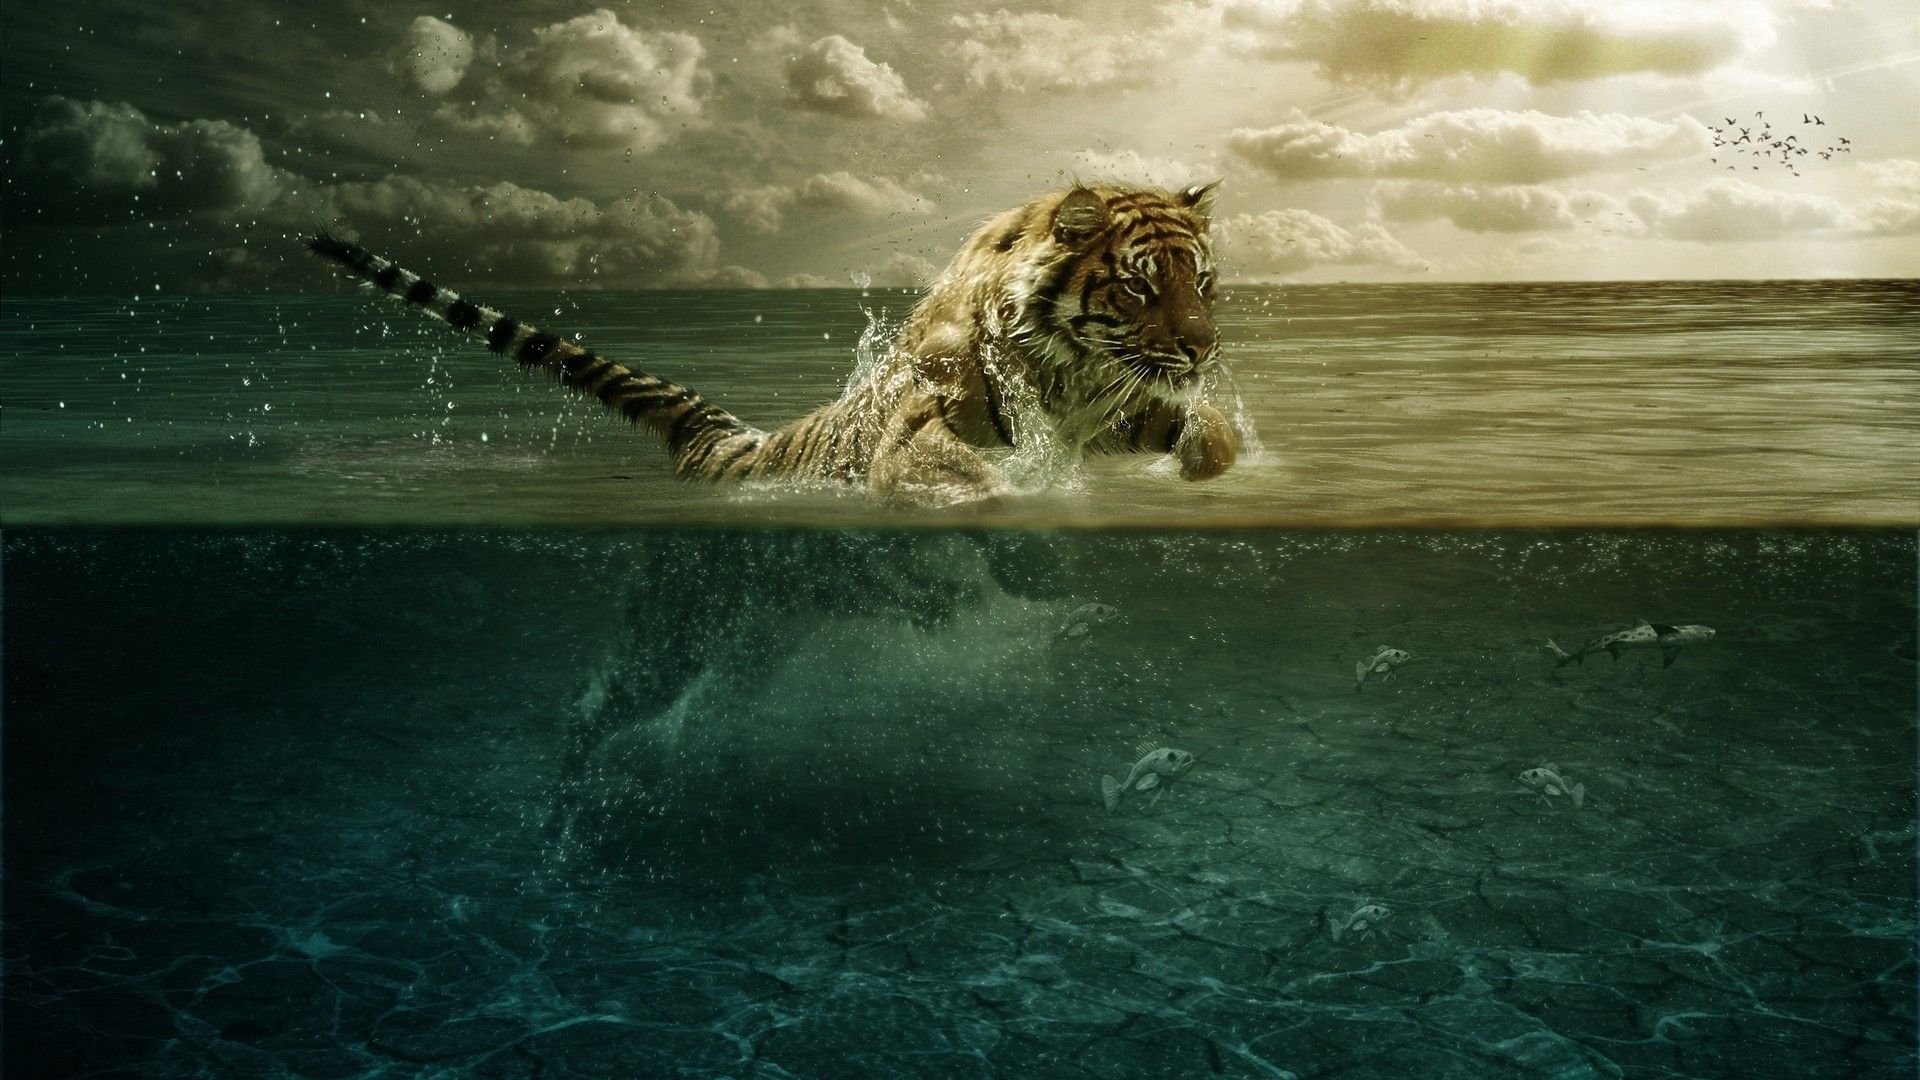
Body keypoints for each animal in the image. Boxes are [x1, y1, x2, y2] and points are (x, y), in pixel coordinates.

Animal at [304, 181, 1240, 504]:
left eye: (1202, 282)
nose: (1202, 351)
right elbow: (954, 472)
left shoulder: (1120, 407)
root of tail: (729, 442)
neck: (1071, 376)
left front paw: (1207, 464)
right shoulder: (924, 422)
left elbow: (1208, 434)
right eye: (1139, 286)